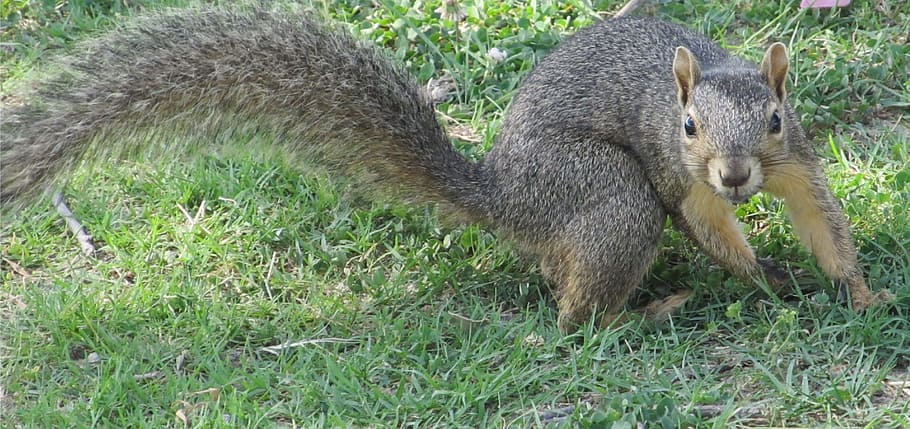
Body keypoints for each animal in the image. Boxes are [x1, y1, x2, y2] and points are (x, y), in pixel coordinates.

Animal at [0, 6, 892, 331]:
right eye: (686, 126)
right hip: (606, 196)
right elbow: (707, 225)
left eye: (773, 118)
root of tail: (502, 197)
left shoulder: (796, 160)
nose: (736, 176)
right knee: (574, 316)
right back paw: (644, 310)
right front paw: (763, 272)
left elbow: (823, 219)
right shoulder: (676, 178)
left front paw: (860, 291)